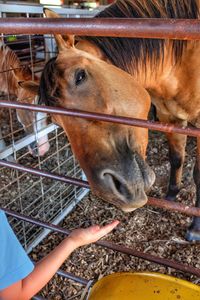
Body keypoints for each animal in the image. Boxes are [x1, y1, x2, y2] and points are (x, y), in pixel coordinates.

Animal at [42, 0, 200, 239]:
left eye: (80, 76)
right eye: (56, 121)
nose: (109, 191)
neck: (183, 62)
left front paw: (195, 227)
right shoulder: (170, 118)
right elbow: (176, 158)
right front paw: (171, 197)